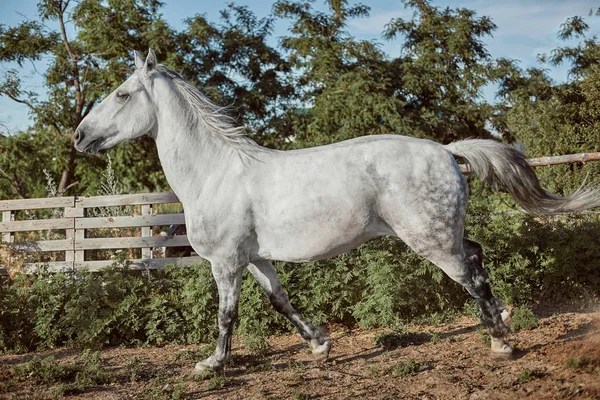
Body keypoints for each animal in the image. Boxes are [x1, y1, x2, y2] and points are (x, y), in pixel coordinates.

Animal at [75, 49, 600, 372]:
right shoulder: (256, 259)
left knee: (470, 273)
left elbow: (227, 314)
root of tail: (447, 151)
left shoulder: (225, 262)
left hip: (431, 241)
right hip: (442, 234)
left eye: (122, 94)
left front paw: (213, 364)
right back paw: (503, 324)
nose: (79, 137)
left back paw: (501, 342)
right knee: (477, 254)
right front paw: (320, 344)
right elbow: (280, 301)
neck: (215, 172)